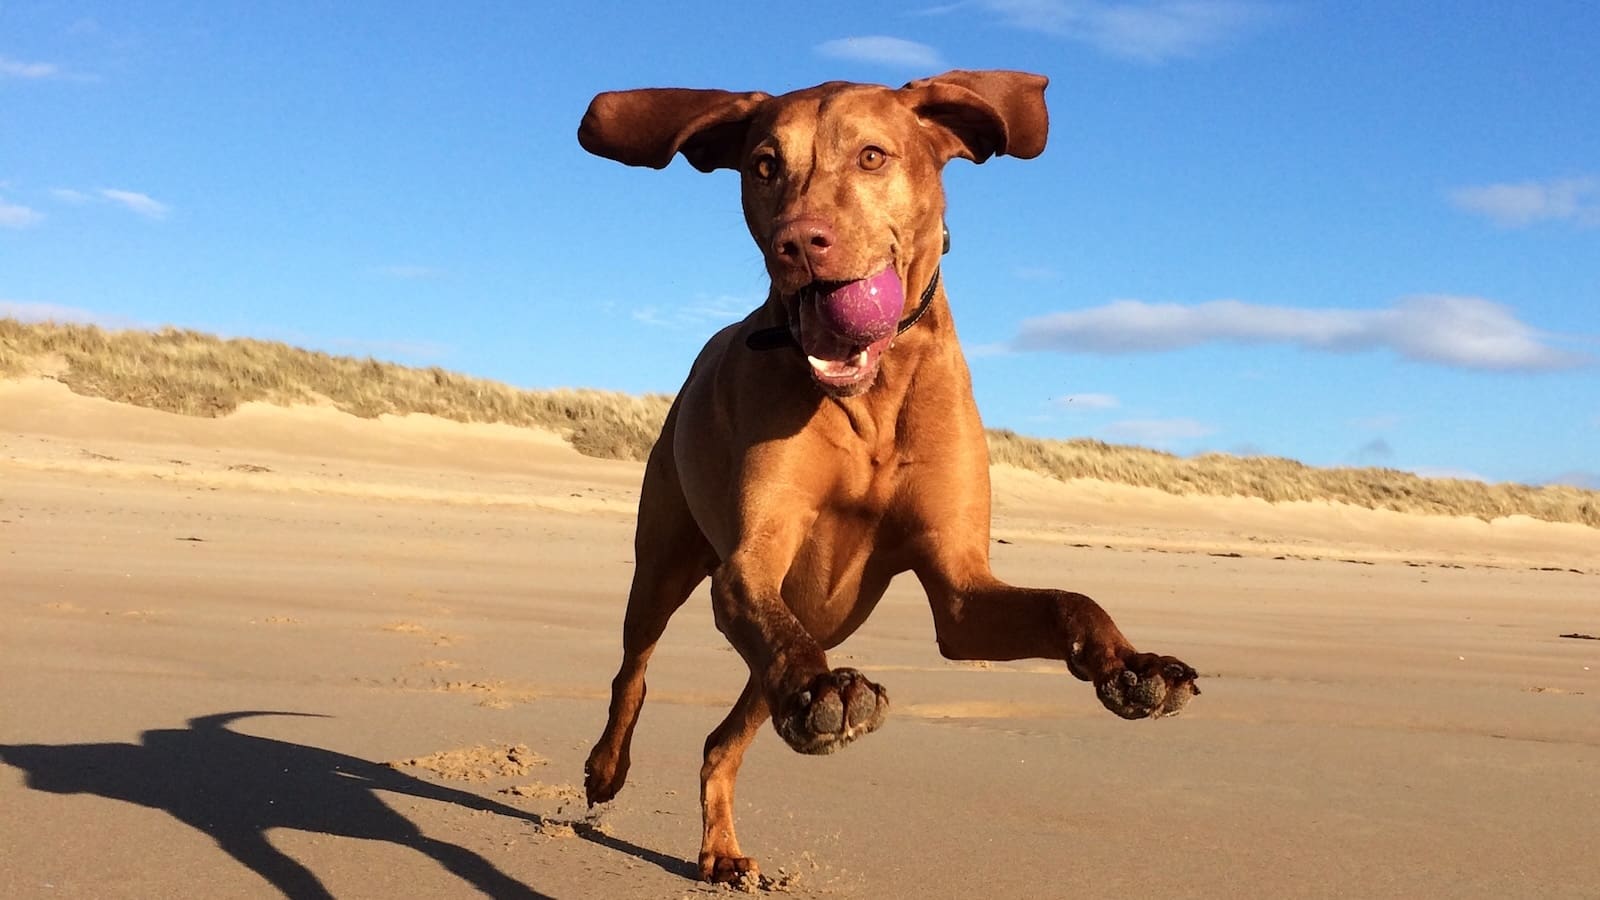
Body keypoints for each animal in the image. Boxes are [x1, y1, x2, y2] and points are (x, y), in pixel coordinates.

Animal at [579, 71, 1203, 883]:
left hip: (822, 612)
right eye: (763, 166)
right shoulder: (749, 562)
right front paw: (822, 685)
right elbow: (774, 642)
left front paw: (1133, 665)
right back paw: (612, 766)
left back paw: (722, 844)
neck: (870, 396)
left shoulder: (961, 591)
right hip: (667, 559)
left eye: (872, 156)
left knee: (727, 734)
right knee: (637, 667)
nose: (797, 242)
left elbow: (1073, 601)